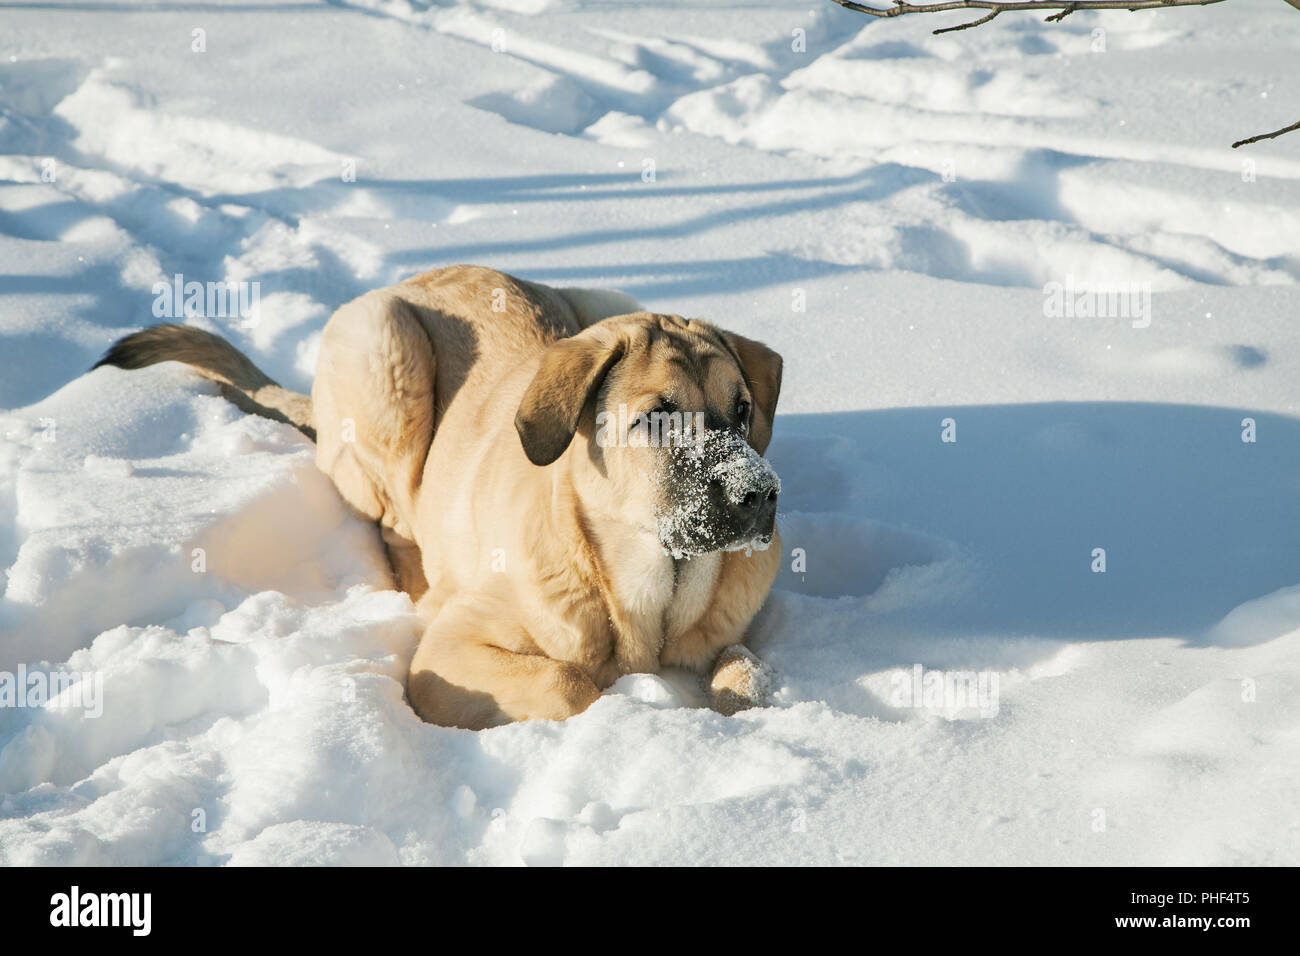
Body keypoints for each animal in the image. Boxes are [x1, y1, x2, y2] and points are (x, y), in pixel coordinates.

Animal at [98, 265, 780, 728]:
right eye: (657, 418)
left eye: (743, 410)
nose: (760, 494)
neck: (645, 593)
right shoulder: (446, 656)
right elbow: (569, 684)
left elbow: (746, 672)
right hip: (387, 358)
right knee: (395, 522)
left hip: (603, 299)